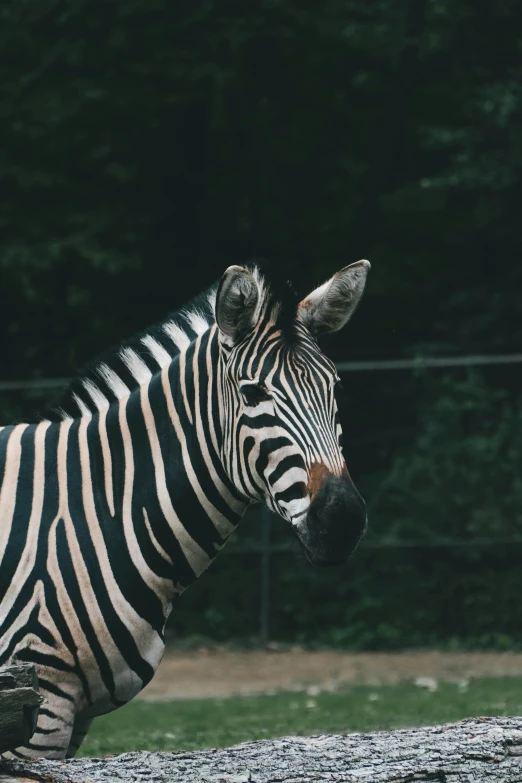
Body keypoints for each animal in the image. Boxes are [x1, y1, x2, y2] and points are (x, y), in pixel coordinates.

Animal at [0, 260, 368, 756]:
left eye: (335, 386)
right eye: (253, 395)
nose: (343, 519)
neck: (93, 511)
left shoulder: (73, 716)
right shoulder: (38, 701)